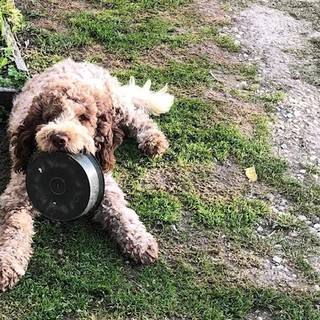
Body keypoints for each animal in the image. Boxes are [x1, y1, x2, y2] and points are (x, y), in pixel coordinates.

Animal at [0, 58, 174, 292]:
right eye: (50, 116)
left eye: (83, 118)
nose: (59, 137)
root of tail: (78, 62)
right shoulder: (15, 198)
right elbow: (15, 229)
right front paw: (8, 262)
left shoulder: (105, 184)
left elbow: (120, 211)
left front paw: (139, 240)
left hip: (119, 106)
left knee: (138, 117)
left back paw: (153, 139)